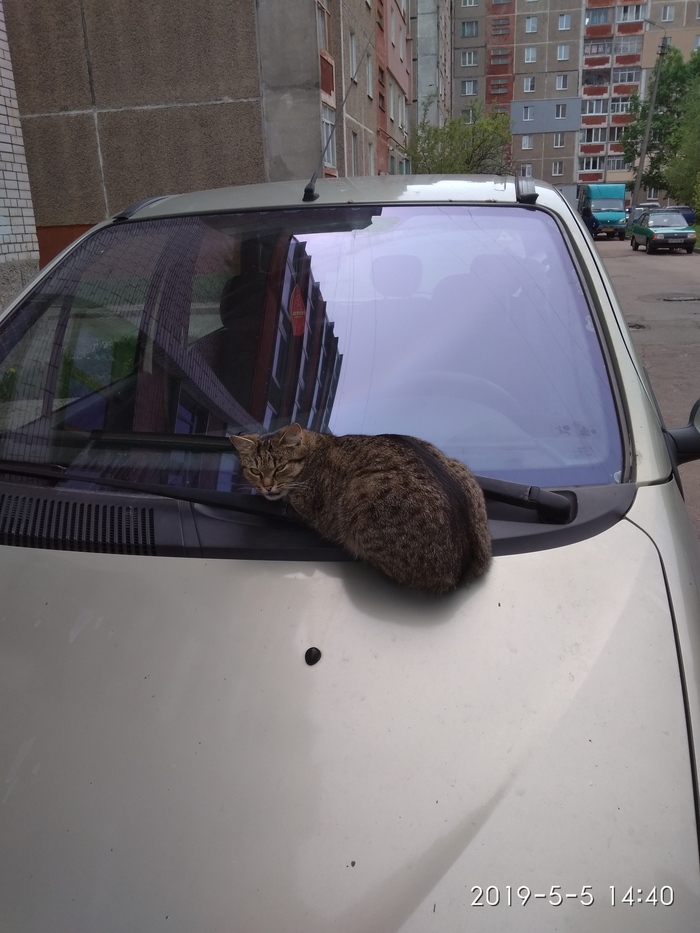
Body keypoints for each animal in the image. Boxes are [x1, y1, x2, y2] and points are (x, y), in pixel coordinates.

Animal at [230, 424, 492, 596]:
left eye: (280, 467)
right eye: (255, 471)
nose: (266, 486)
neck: (316, 449)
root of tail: (465, 567)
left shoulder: (303, 501)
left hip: (360, 493)